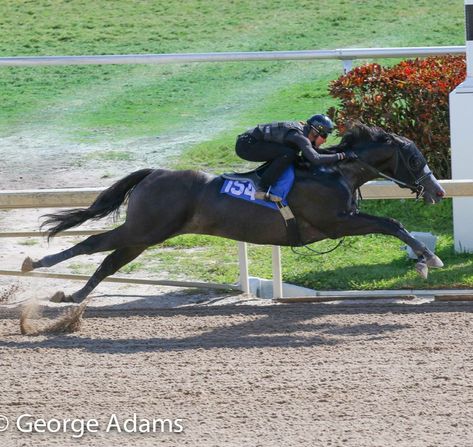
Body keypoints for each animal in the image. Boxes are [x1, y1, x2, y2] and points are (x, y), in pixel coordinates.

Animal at [21, 123, 442, 304]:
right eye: (414, 158)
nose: (438, 191)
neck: (334, 171)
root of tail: (155, 172)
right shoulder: (337, 223)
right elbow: (392, 223)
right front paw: (428, 259)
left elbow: (392, 224)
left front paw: (425, 259)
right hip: (143, 229)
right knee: (92, 243)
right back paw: (35, 265)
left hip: (147, 235)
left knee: (109, 260)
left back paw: (74, 296)